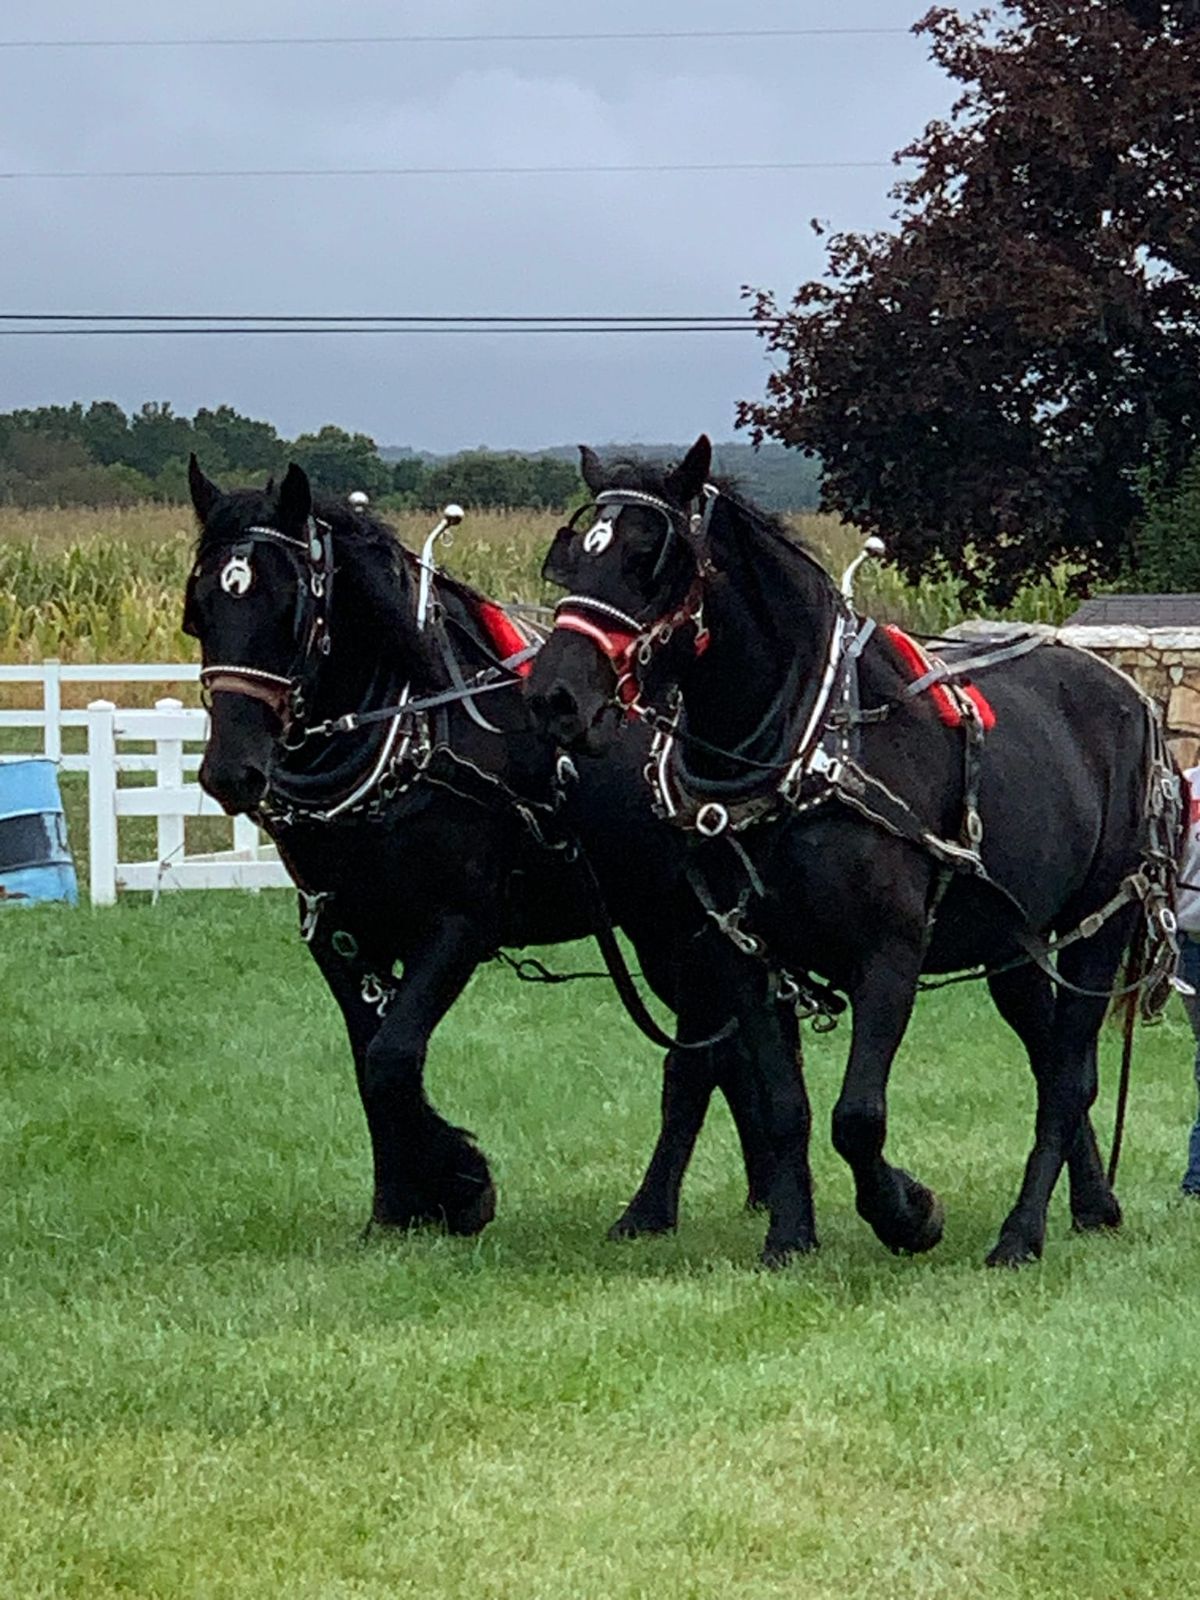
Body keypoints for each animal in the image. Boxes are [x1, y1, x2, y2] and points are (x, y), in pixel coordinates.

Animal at [180, 457, 819, 1254]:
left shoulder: (459, 924)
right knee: (730, 1048)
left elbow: (393, 1060)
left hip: (689, 927)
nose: (230, 771)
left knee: (699, 1059)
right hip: (664, 928)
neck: (414, 727)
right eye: (201, 607)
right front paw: (394, 1208)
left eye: (287, 603)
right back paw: (758, 1188)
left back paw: (650, 1209)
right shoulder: (338, 933)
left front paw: (460, 1185)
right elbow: (369, 1065)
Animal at [528, 438, 1184, 1260]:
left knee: (1067, 1077)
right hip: (1014, 943)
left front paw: (909, 1212)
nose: (552, 696)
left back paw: (1020, 1236)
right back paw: (1094, 1204)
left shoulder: (889, 953)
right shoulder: (742, 955)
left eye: (652, 555)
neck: (803, 744)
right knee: (1049, 1062)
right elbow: (784, 1104)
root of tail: (1132, 697)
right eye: (573, 556)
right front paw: (789, 1238)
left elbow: (857, 1116)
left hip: (1102, 923)